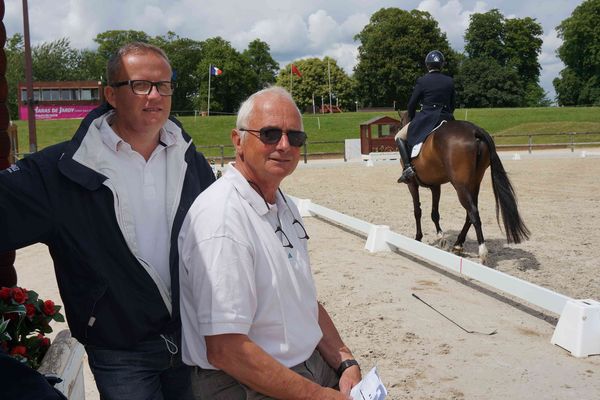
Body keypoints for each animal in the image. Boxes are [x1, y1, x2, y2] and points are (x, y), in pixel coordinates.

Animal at [398, 113, 528, 262]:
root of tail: (475, 130)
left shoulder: (412, 184)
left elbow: (417, 211)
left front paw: (418, 238)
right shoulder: (436, 185)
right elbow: (434, 213)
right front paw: (441, 238)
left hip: (460, 186)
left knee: (473, 213)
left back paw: (482, 252)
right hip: (474, 184)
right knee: (470, 214)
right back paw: (458, 245)